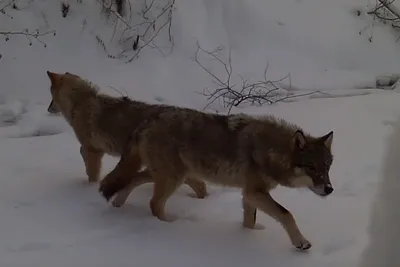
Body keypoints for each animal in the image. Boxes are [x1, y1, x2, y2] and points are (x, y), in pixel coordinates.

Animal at [45, 70, 208, 204]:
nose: (48, 109)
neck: (81, 102)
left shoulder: (92, 151)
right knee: (200, 185)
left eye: (51, 98)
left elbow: (92, 174)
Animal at [97, 106, 334, 251]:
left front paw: (247, 236)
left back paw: (119, 204)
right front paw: (301, 242)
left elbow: (250, 221)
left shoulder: (248, 194)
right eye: (311, 168)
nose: (329, 189)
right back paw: (170, 226)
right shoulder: (255, 192)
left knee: (133, 179)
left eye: (327, 166)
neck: (271, 151)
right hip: (173, 177)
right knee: (154, 203)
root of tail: (146, 120)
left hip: (167, 174)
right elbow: (287, 214)